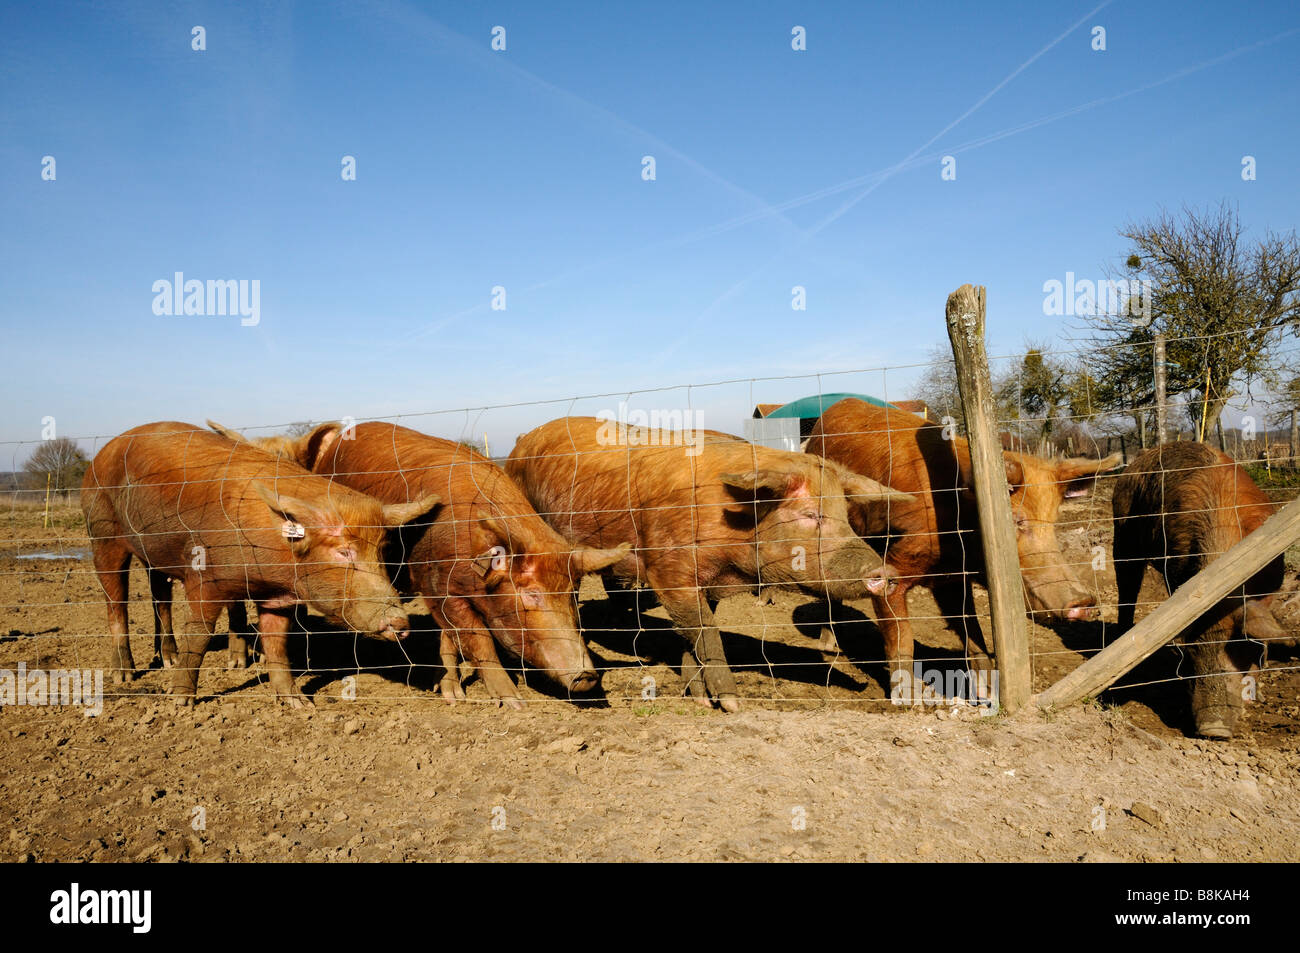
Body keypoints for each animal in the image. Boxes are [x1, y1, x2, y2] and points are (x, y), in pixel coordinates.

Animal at [81, 421, 439, 706]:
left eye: (381, 551)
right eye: (343, 552)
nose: (400, 620)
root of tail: (101, 454)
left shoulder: (277, 597)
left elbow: (277, 644)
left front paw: (298, 703)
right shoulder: (203, 578)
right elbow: (198, 635)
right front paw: (181, 700)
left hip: (152, 556)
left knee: (160, 599)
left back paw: (166, 658)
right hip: (103, 536)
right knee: (116, 603)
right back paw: (124, 675)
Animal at [275, 421, 628, 708]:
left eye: (572, 594)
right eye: (530, 594)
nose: (586, 676)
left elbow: (450, 637)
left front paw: (450, 693)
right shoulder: (440, 586)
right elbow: (477, 638)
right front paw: (512, 702)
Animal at [504, 416, 910, 712]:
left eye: (846, 516)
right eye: (810, 515)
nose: (884, 573)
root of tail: (522, 441)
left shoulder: (709, 583)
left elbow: (694, 634)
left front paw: (699, 698)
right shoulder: (668, 570)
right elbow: (707, 634)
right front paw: (732, 705)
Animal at [807, 399, 1119, 685]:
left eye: (1053, 520)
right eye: (1015, 521)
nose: (1084, 600)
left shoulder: (954, 580)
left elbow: (973, 634)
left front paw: (988, 693)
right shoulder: (891, 566)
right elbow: (902, 640)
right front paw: (911, 701)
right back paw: (828, 647)